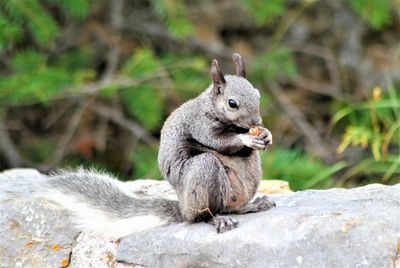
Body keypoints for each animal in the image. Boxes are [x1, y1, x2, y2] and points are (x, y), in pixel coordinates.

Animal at [3, 52, 276, 239]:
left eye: (258, 94)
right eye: (232, 103)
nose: (256, 122)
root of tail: (182, 206)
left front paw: (266, 135)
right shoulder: (200, 124)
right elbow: (218, 141)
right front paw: (246, 138)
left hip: (249, 175)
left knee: (233, 207)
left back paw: (252, 205)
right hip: (202, 174)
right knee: (202, 215)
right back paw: (216, 220)